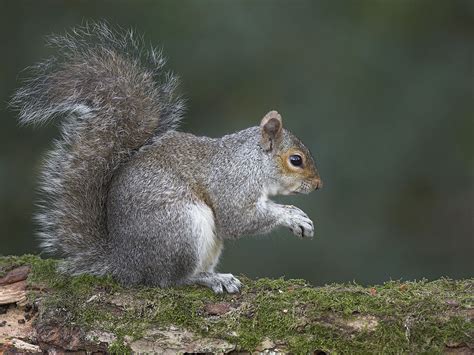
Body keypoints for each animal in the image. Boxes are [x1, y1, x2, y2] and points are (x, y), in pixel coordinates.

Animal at [12, 23, 322, 294]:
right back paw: (209, 279)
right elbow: (239, 219)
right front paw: (293, 216)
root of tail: (126, 264)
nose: (318, 185)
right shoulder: (233, 184)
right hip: (181, 228)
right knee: (168, 280)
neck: (251, 161)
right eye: (296, 160)